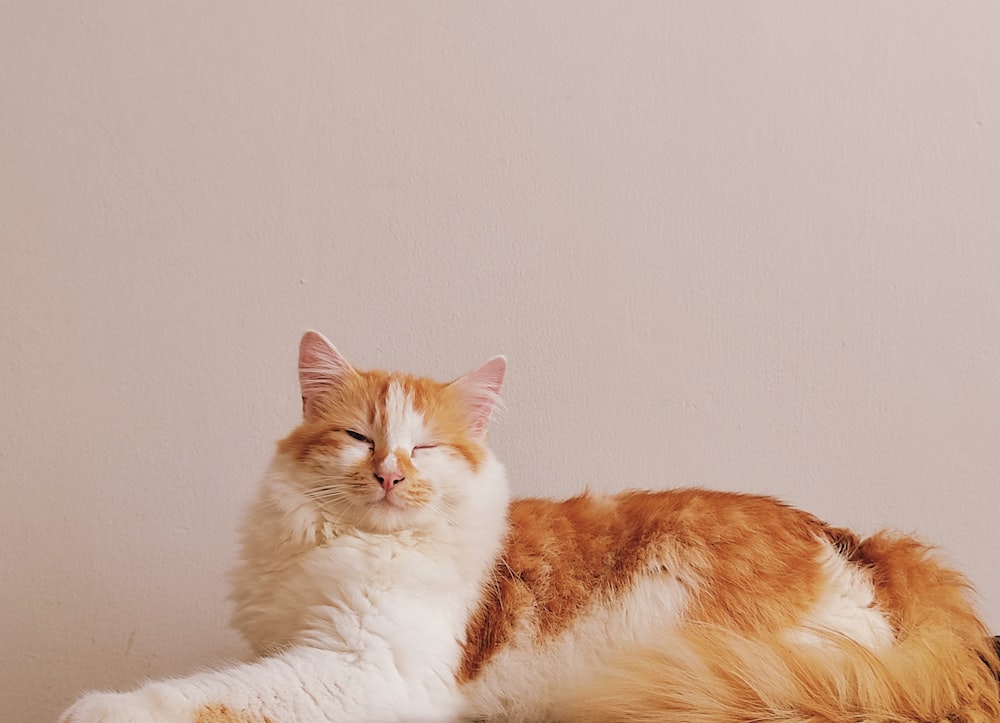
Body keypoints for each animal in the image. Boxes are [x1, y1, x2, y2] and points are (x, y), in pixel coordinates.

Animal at [62, 330, 1000, 720]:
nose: (389, 474)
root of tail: (867, 544)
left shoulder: (361, 669)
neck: (342, 540)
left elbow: (202, 691)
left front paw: (97, 707)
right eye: (360, 436)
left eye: (425, 446)